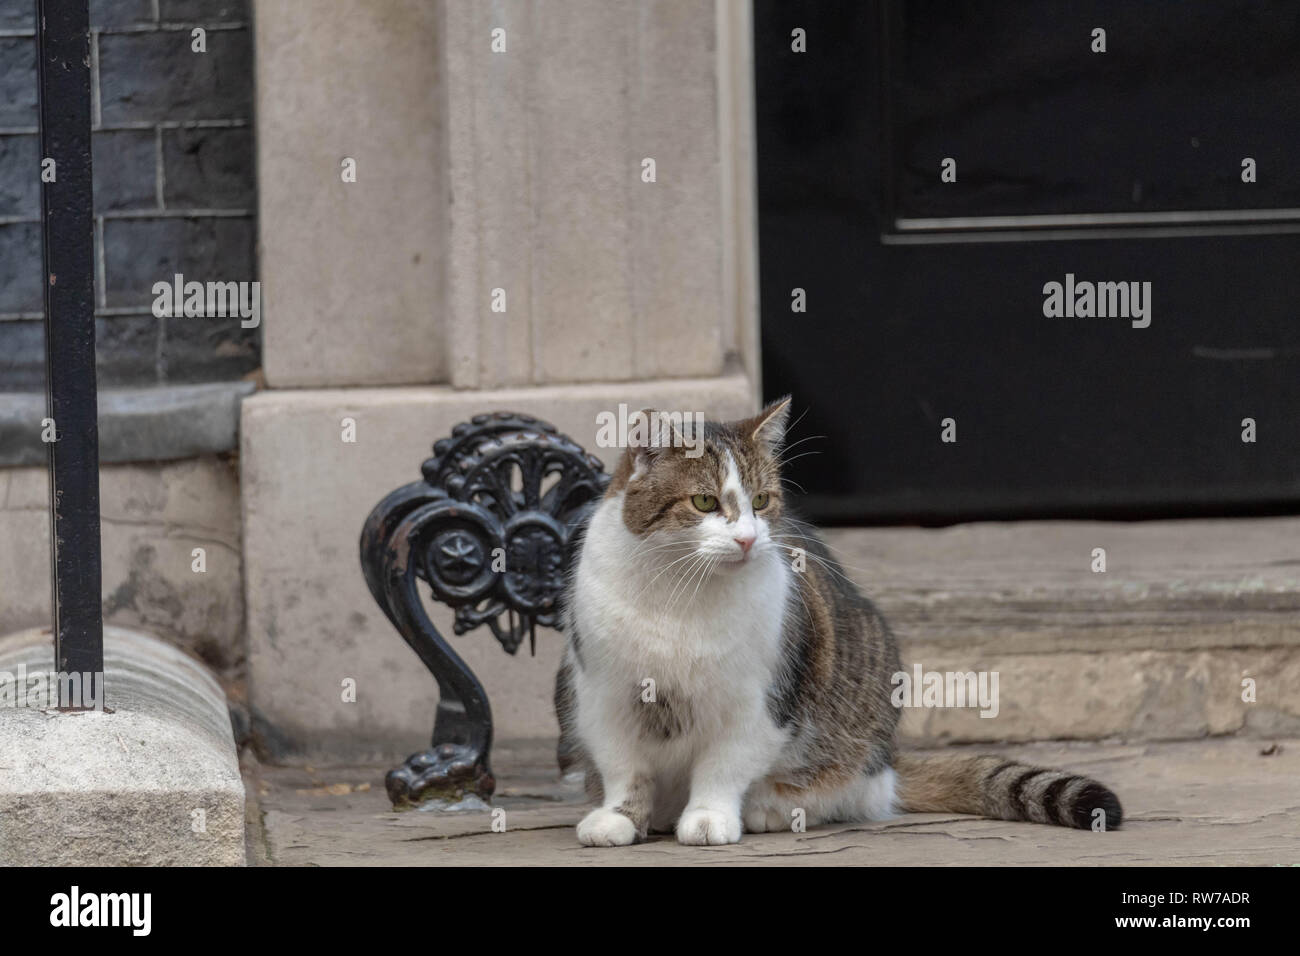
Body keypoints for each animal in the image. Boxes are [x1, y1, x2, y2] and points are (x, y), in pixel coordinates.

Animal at [553, 400, 1123, 848]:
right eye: (704, 501)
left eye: (761, 501)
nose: (747, 539)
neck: (679, 595)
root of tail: (889, 761)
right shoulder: (603, 696)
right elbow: (625, 770)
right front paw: (618, 818)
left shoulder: (759, 702)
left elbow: (723, 765)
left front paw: (711, 816)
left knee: (850, 790)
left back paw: (768, 807)